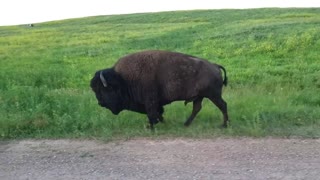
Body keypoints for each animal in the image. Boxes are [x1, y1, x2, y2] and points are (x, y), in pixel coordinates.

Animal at [91, 50, 229, 129]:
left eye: (104, 90)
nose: (100, 103)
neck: (123, 80)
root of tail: (215, 65)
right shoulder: (154, 103)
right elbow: (158, 112)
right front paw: (161, 122)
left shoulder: (150, 101)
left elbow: (152, 112)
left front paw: (151, 126)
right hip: (199, 96)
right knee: (197, 108)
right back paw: (186, 124)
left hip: (213, 95)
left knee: (222, 105)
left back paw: (224, 125)